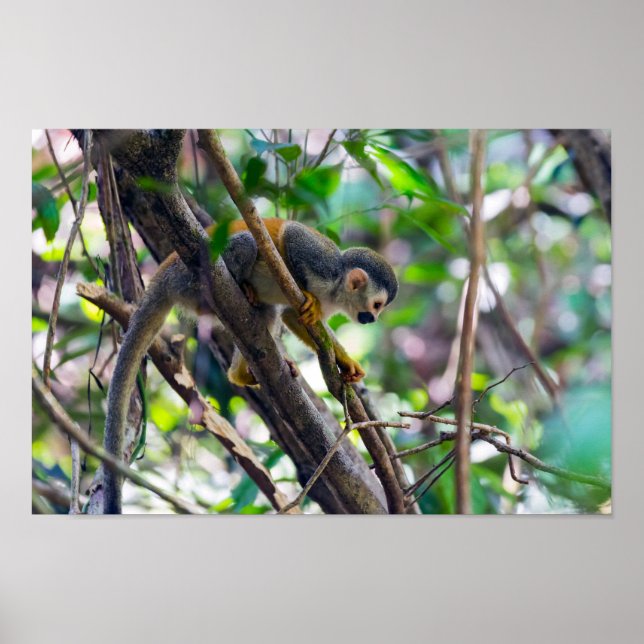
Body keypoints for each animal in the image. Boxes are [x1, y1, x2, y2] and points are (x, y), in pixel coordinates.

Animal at [101, 218, 398, 512]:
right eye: (377, 304)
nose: (372, 318)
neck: (336, 291)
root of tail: (164, 271)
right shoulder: (323, 263)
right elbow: (292, 237)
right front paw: (302, 287)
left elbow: (294, 317)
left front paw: (346, 363)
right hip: (189, 275)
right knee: (246, 243)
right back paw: (238, 288)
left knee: (263, 314)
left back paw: (240, 373)